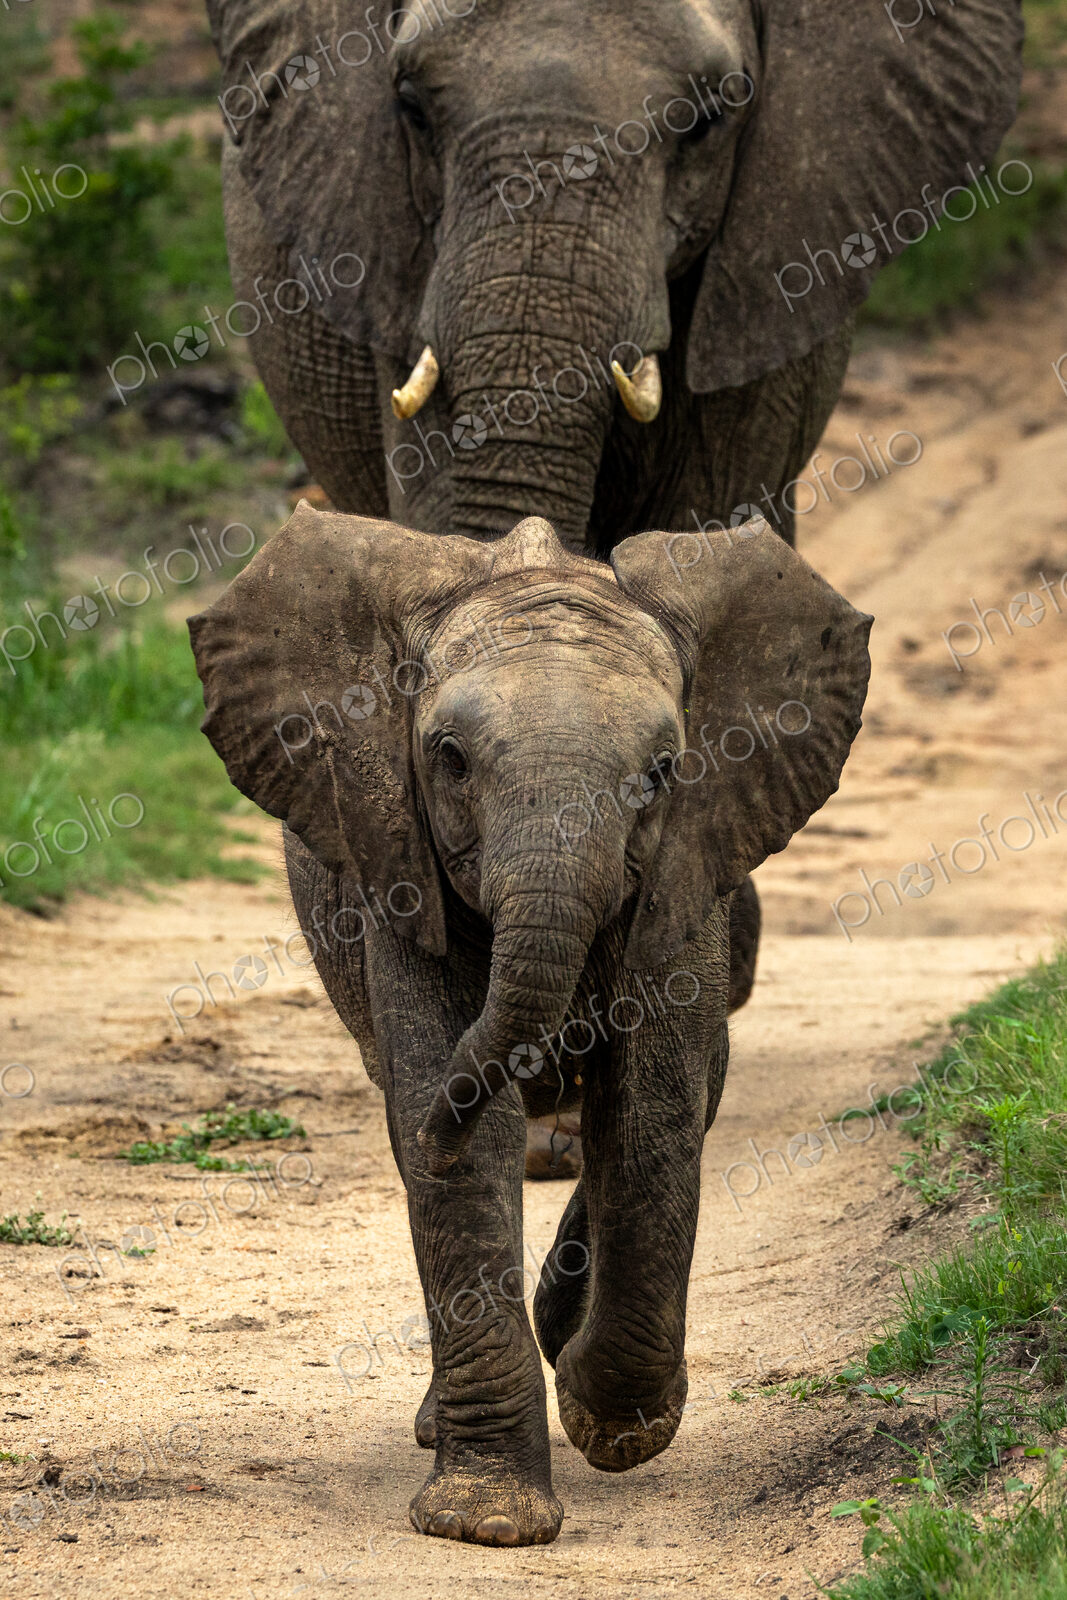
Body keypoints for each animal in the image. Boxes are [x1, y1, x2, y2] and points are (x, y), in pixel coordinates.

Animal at [189, 504, 872, 1545]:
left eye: (663, 771)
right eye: (448, 758)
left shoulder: (685, 876)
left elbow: (653, 1113)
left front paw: (612, 1427)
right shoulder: (400, 865)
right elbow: (463, 1135)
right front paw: (484, 1523)